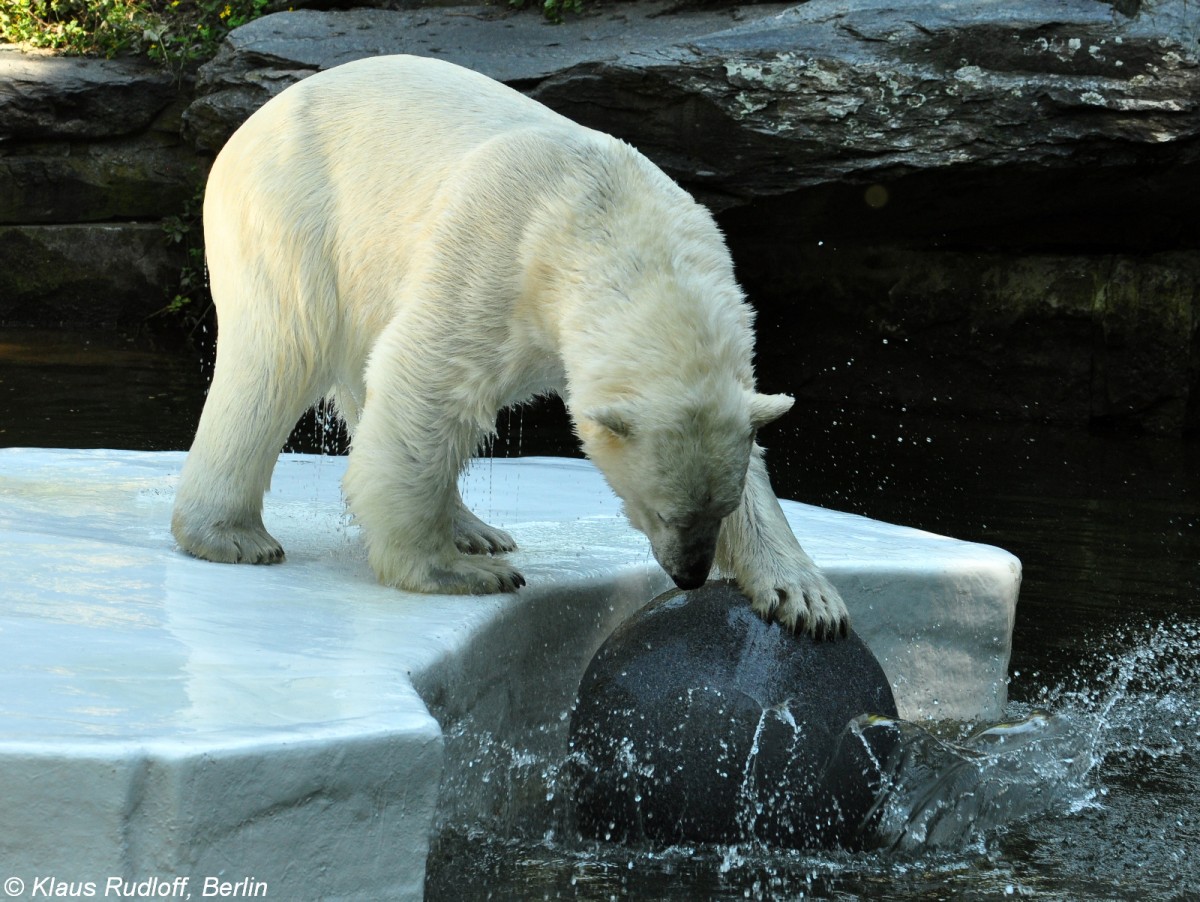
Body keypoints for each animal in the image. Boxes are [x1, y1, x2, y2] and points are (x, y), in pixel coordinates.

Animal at [174, 52, 849, 638]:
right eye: (665, 513)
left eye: (718, 510)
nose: (688, 575)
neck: (607, 218)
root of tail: (248, 127)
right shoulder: (495, 253)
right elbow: (429, 382)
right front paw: (457, 571)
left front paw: (806, 598)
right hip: (294, 214)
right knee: (282, 352)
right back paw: (231, 536)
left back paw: (475, 527)